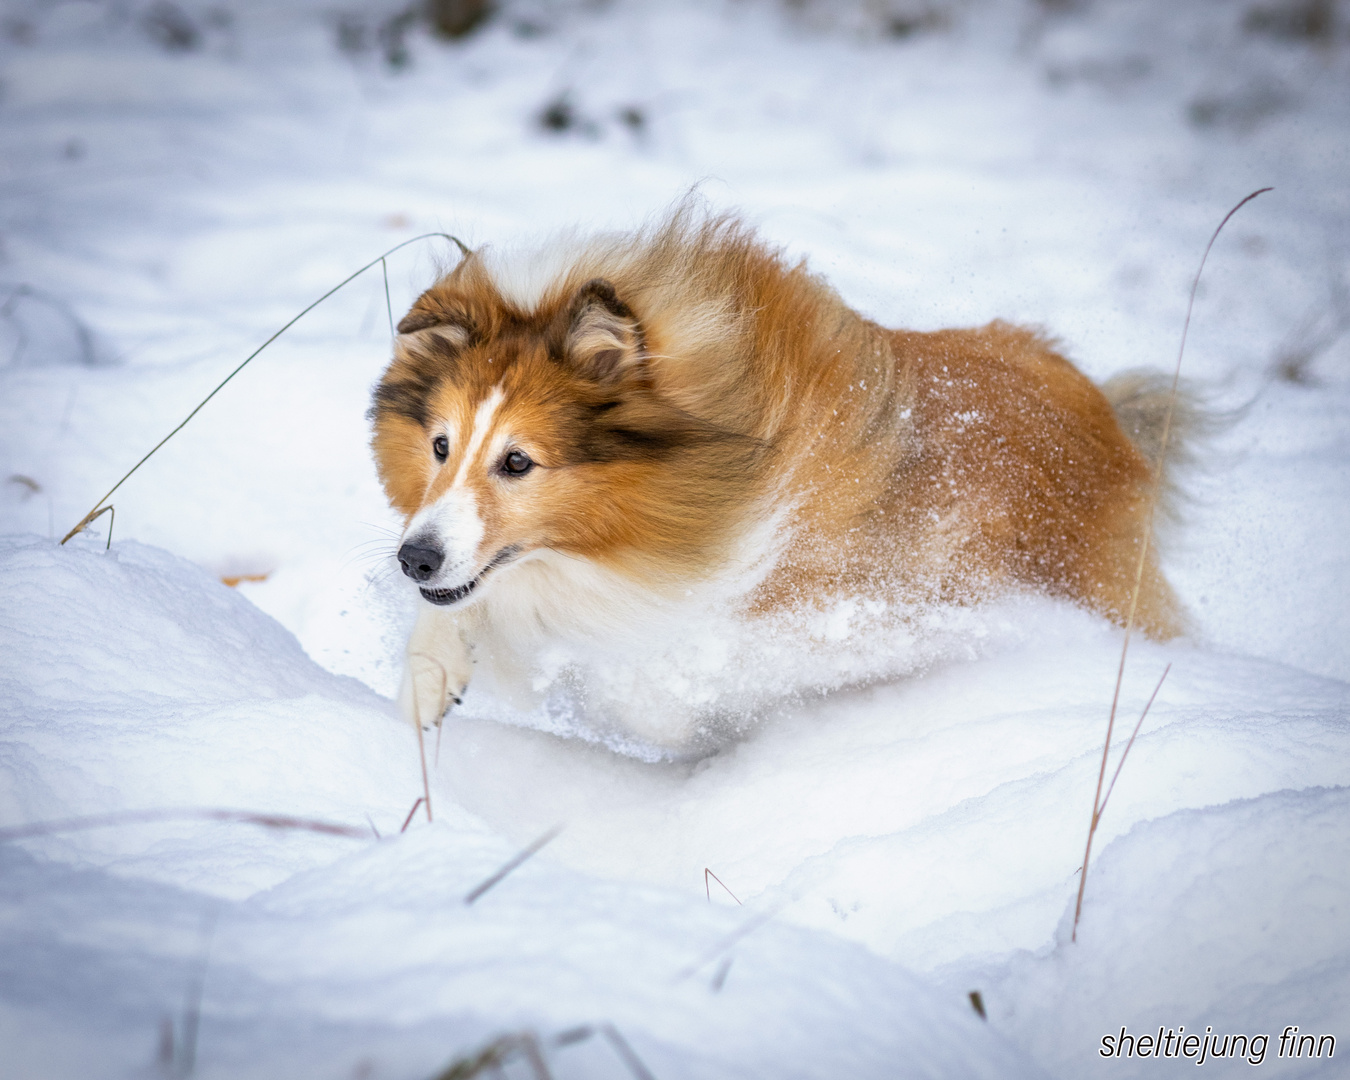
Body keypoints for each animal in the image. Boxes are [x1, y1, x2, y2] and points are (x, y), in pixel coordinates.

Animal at [369, 209, 1182, 750]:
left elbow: (653, 687)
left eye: (517, 461)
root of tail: (1095, 396)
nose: (414, 559)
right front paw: (427, 691)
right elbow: (463, 614)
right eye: (441, 445)